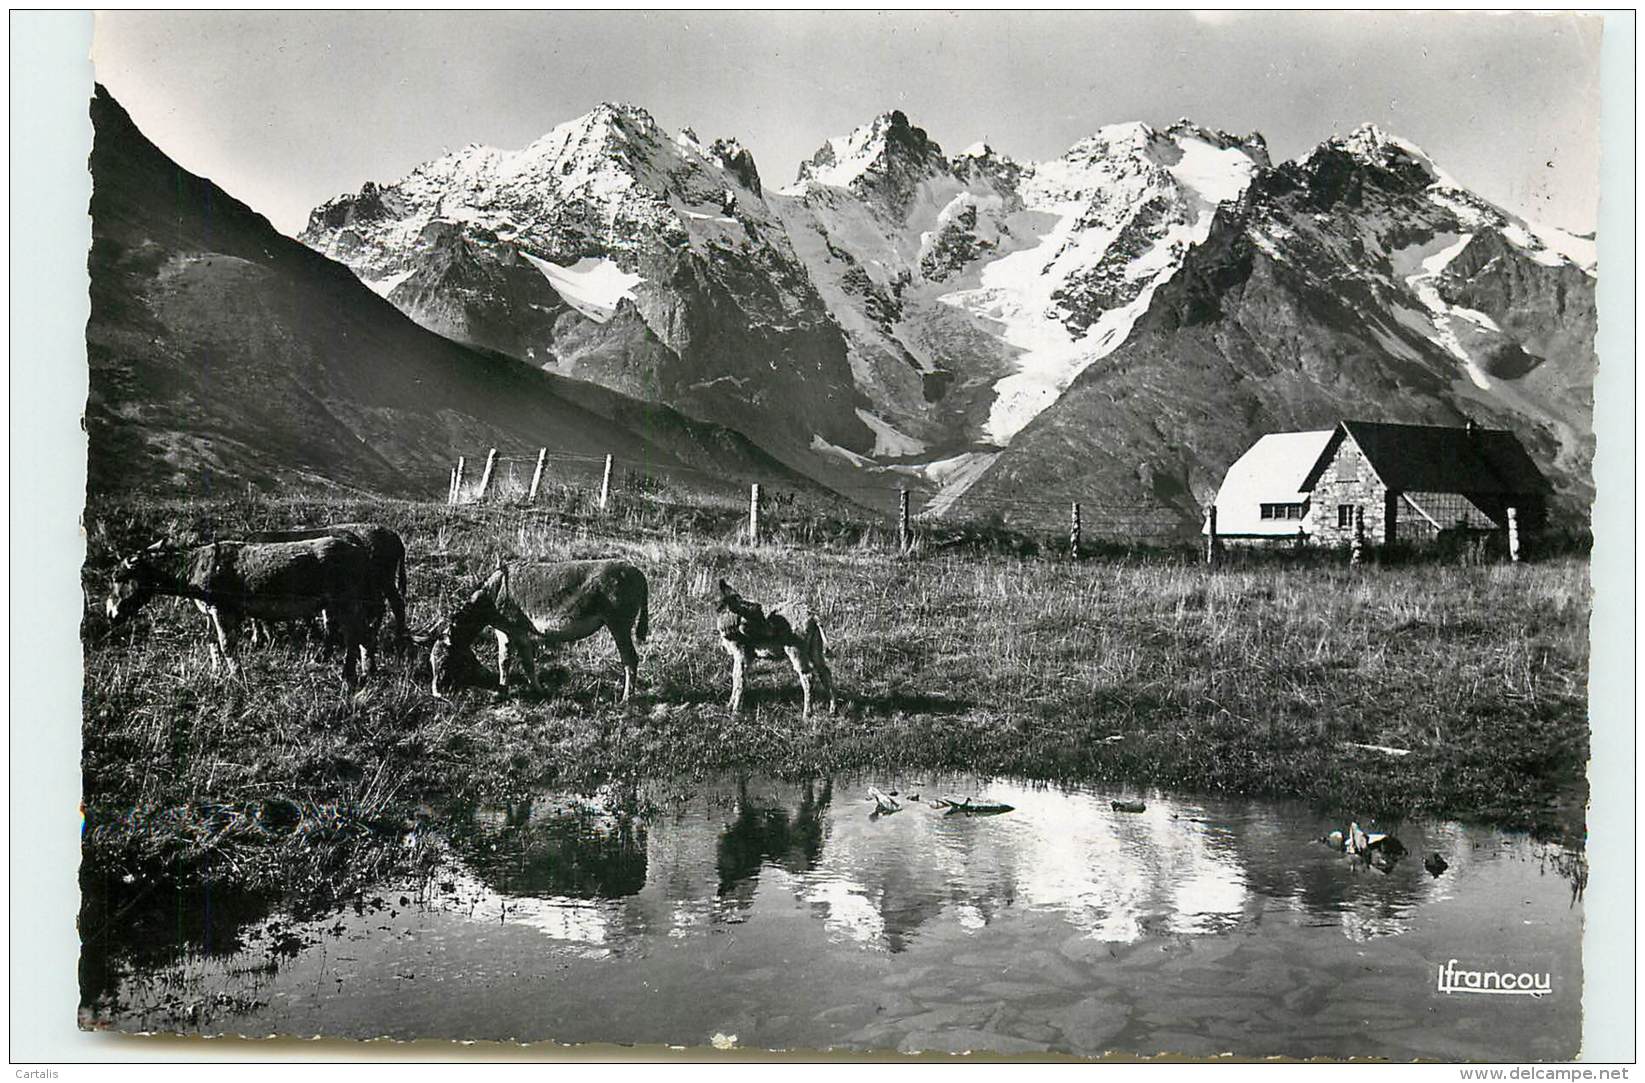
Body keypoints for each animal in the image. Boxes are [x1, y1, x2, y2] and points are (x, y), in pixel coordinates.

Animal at [105, 536, 381, 684]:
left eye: (117, 577)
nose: (110, 614)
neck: (195, 568)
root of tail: (360, 550)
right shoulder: (210, 612)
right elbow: (212, 642)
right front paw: (217, 672)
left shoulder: (221, 610)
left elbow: (227, 644)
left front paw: (236, 677)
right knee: (364, 636)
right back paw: (367, 672)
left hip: (345, 602)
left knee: (354, 637)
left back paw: (348, 675)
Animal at [414, 556, 651, 701]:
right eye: (431, 661)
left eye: (445, 660)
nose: (437, 693)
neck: (493, 594)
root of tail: (638, 572)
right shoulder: (504, 630)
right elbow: (505, 659)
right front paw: (505, 690)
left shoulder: (517, 630)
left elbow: (525, 661)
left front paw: (533, 690)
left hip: (618, 624)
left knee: (630, 659)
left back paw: (626, 698)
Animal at [713, 572, 835, 717]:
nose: (724, 631)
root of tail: (813, 616)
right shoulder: (742, 656)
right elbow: (736, 677)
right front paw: (730, 706)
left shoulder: (742, 654)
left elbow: (740, 680)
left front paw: (735, 711)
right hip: (815, 648)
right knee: (825, 673)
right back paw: (832, 709)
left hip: (796, 650)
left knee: (808, 676)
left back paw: (807, 714)